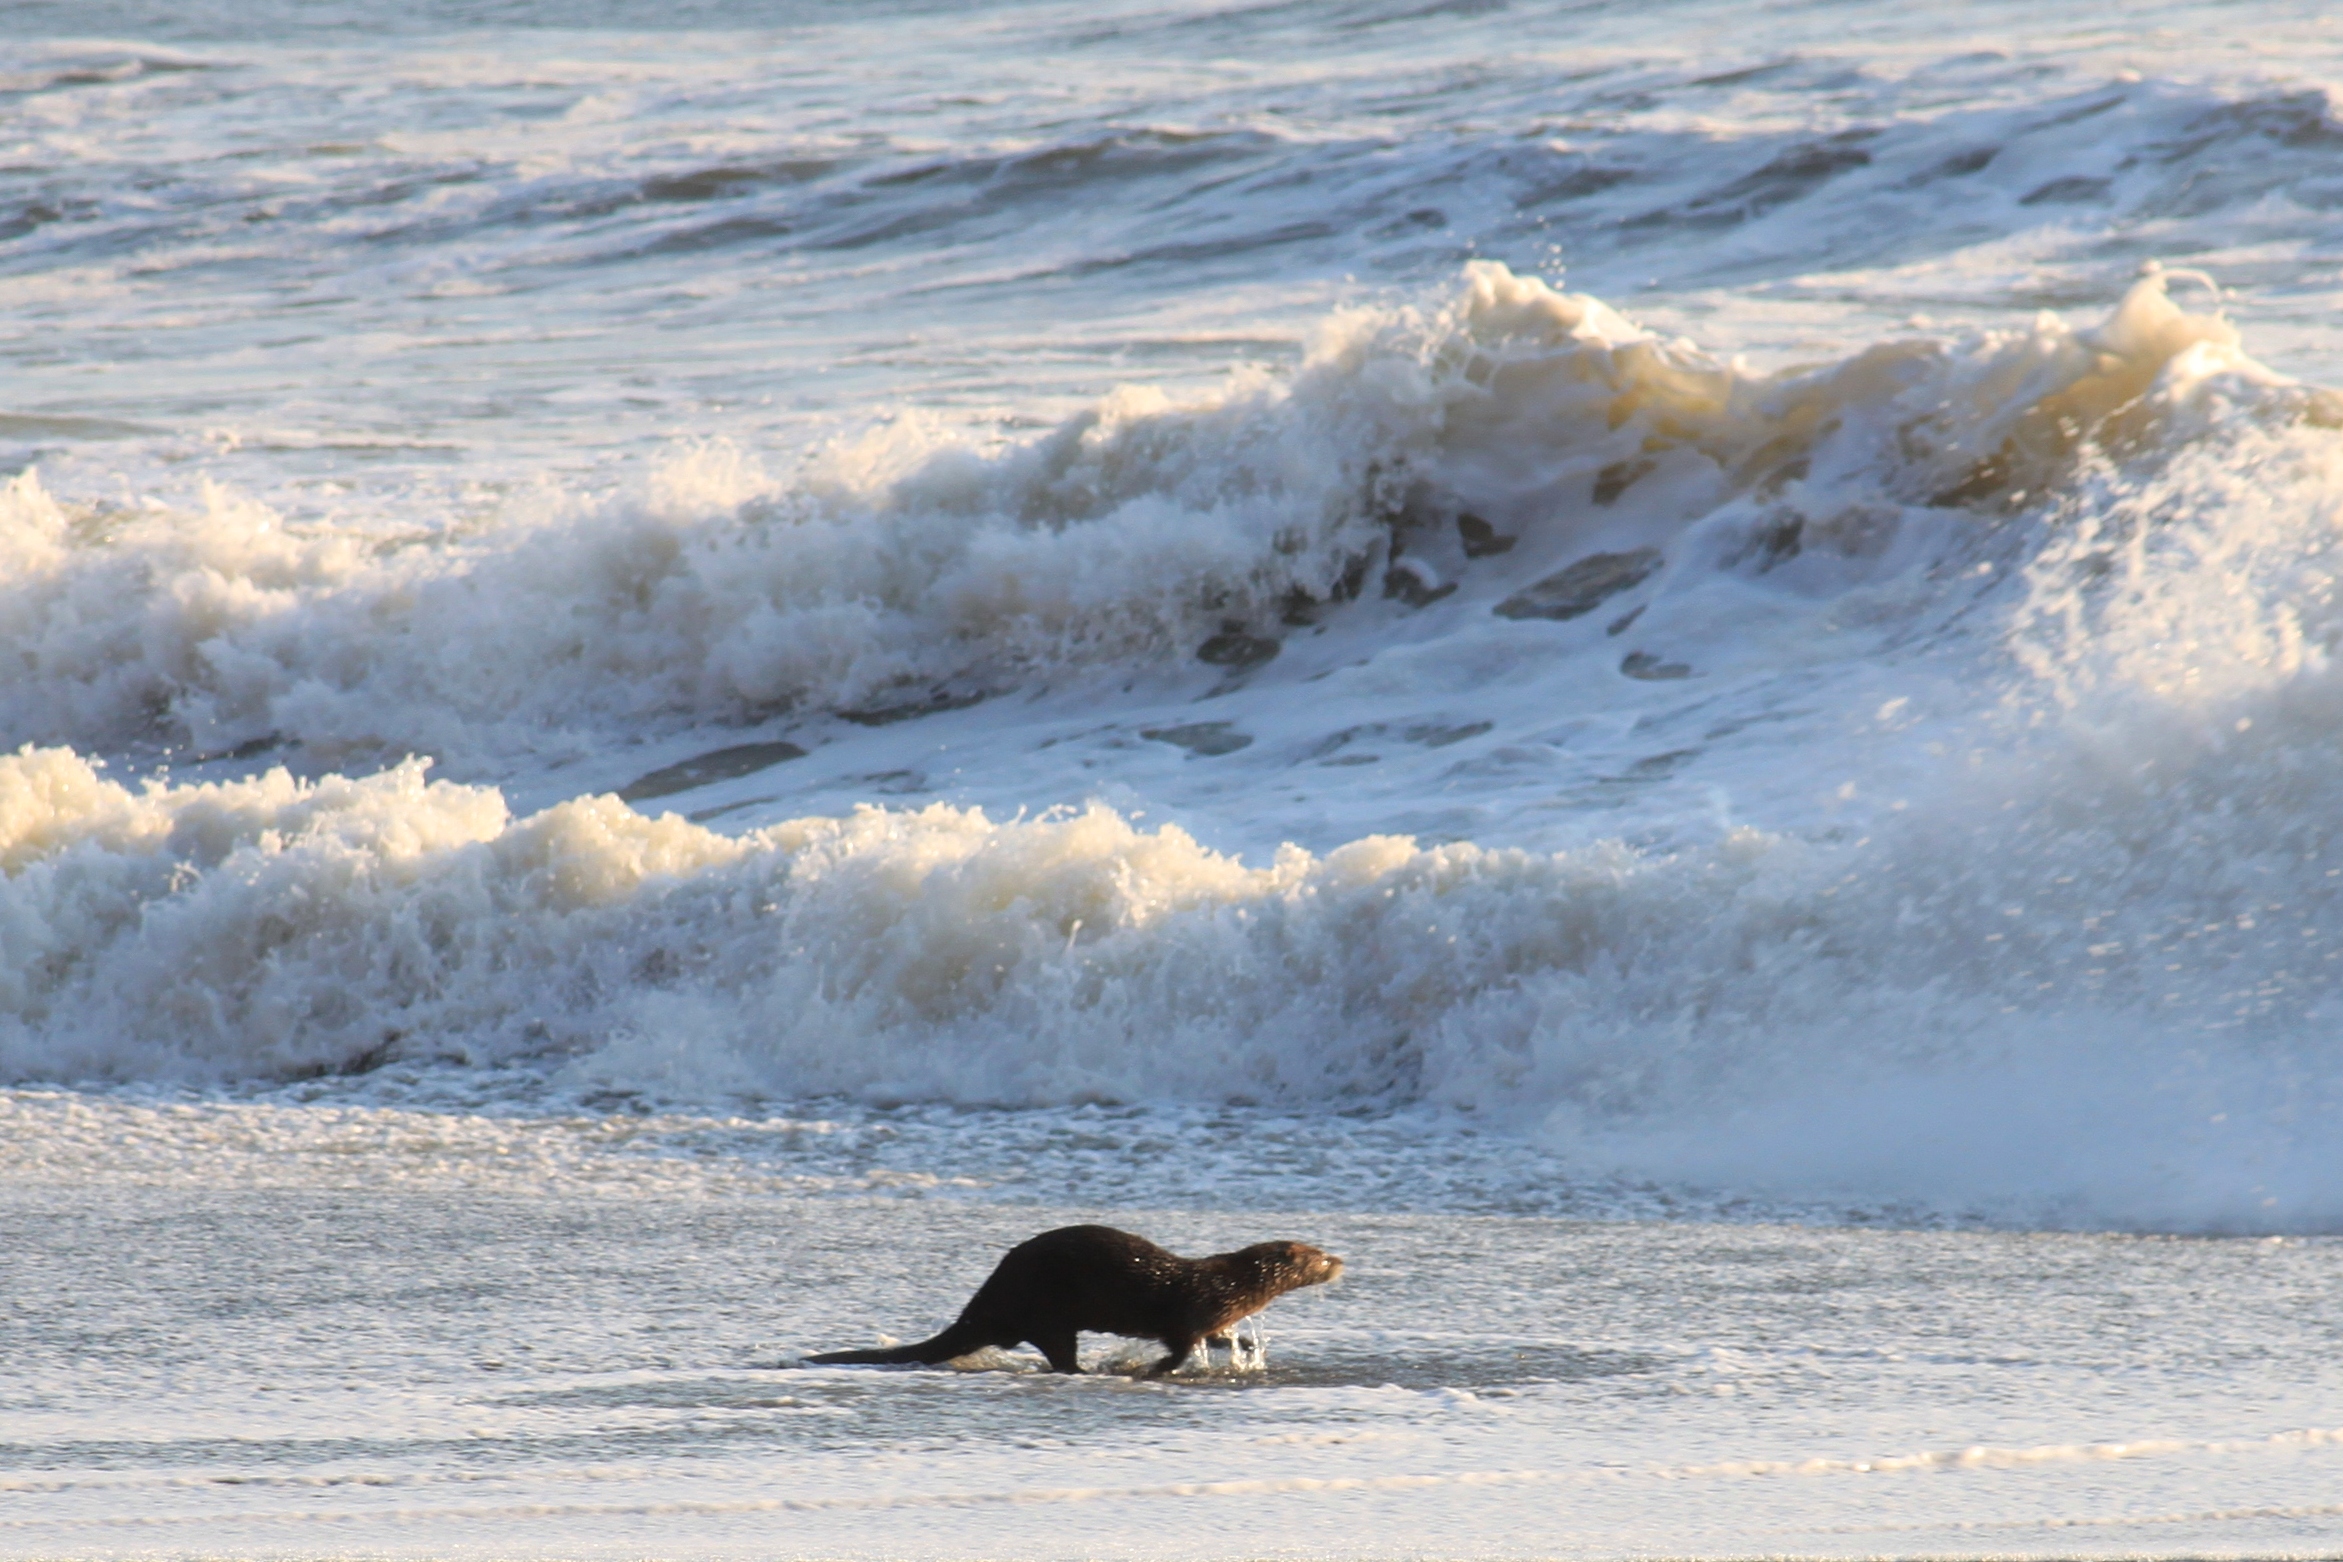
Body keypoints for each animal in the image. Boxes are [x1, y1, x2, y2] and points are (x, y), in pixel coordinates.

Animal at [807, 1224, 1342, 1377]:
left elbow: (1214, 1341)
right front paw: (1153, 1369)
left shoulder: (1214, 1317)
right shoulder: (1191, 1312)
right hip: (1046, 1312)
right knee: (1060, 1353)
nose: (1339, 1259)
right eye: (1318, 1256)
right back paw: (1086, 1370)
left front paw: (1246, 1349)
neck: (1232, 1286)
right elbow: (1180, 1346)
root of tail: (987, 1298)